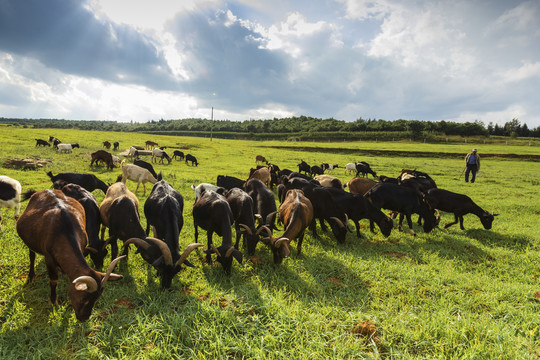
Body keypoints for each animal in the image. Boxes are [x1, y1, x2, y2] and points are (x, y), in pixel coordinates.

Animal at [15, 190, 125, 322]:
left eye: (97, 298)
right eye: (84, 299)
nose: (84, 318)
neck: (64, 230)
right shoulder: (49, 258)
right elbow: (53, 280)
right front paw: (54, 302)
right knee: (32, 256)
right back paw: (31, 276)